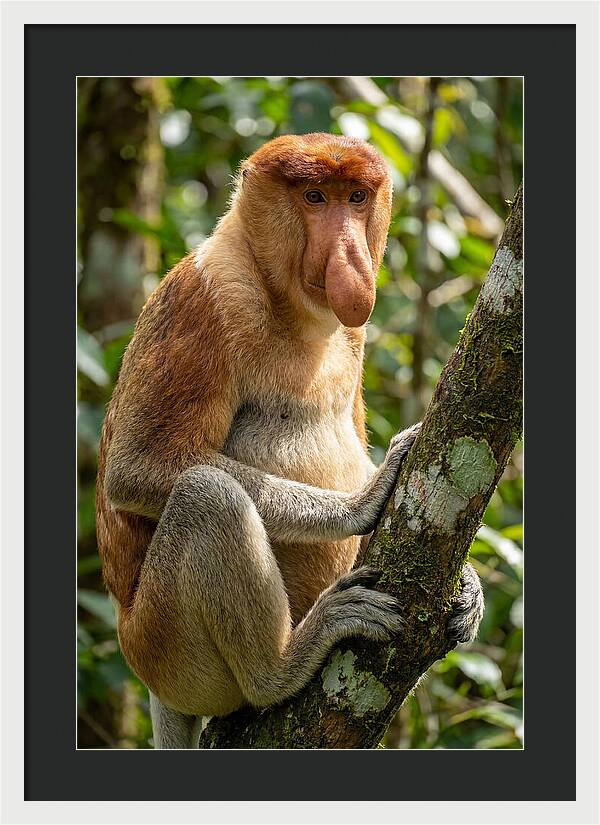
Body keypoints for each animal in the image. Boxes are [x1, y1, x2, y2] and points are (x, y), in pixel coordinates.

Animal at [96, 133, 484, 749]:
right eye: (315, 197)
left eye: (355, 197)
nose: (350, 256)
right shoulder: (205, 299)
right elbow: (138, 467)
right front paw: (363, 502)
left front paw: (468, 584)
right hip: (163, 649)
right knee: (208, 496)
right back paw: (283, 665)